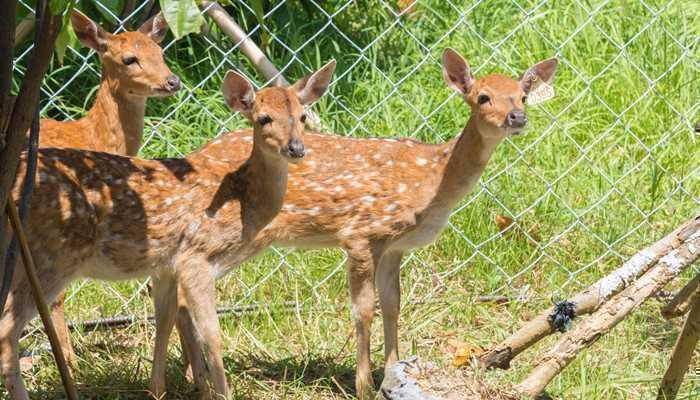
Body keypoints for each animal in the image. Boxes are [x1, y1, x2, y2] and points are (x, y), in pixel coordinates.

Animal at [0, 62, 336, 400]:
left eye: (303, 116)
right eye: (264, 118)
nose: (296, 148)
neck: (241, 199)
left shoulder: (165, 266)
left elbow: (164, 320)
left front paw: (156, 390)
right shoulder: (196, 257)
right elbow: (212, 336)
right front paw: (219, 392)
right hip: (51, 257)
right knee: (7, 331)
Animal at [39, 8, 182, 366]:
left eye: (160, 51)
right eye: (129, 59)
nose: (172, 81)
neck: (89, 138)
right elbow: (56, 296)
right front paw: (70, 364)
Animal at [165, 48, 556, 398]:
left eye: (522, 95)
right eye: (483, 97)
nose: (517, 117)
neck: (432, 180)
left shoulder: (396, 245)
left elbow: (393, 302)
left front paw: (393, 372)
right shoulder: (361, 233)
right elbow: (363, 309)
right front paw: (364, 386)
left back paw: (192, 377)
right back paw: (197, 379)